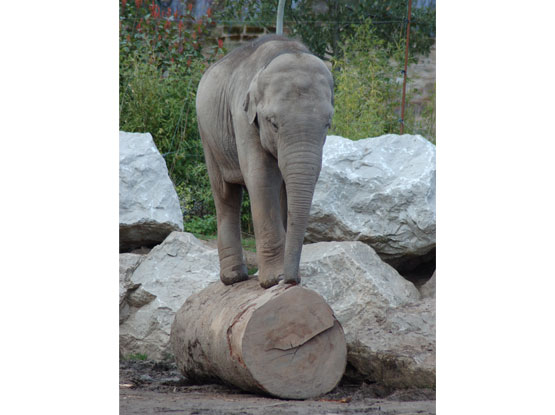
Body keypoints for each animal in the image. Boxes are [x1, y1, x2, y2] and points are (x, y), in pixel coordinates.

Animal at [196, 35, 334, 288]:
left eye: (327, 124)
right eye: (273, 123)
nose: (293, 280)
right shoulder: (243, 117)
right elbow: (262, 178)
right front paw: (273, 279)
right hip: (206, 133)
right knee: (225, 194)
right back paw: (234, 278)